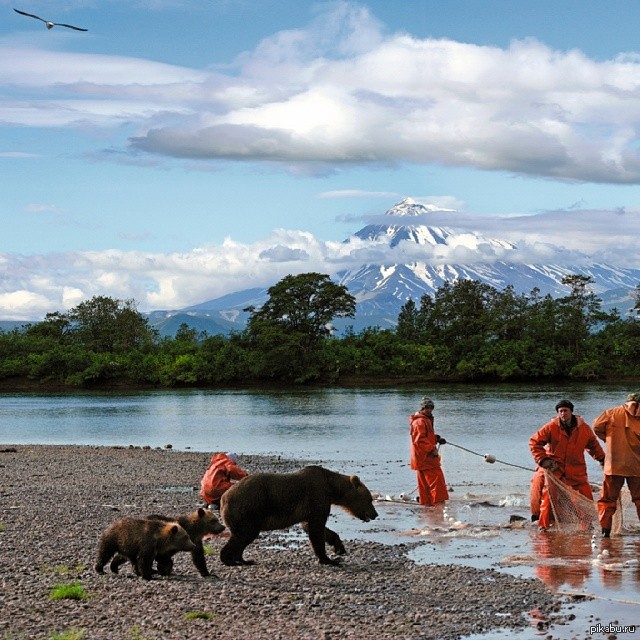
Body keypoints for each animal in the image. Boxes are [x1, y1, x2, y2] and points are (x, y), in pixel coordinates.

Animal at [221, 464, 380, 564]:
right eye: (370, 499)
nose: (375, 514)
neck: (331, 488)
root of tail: (224, 498)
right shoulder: (316, 496)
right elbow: (317, 529)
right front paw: (329, 559)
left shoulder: (310, 508)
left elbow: (312, 527)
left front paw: (339, 548)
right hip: (247, 509)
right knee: (245, 534)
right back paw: (229, 559)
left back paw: (244, 559)